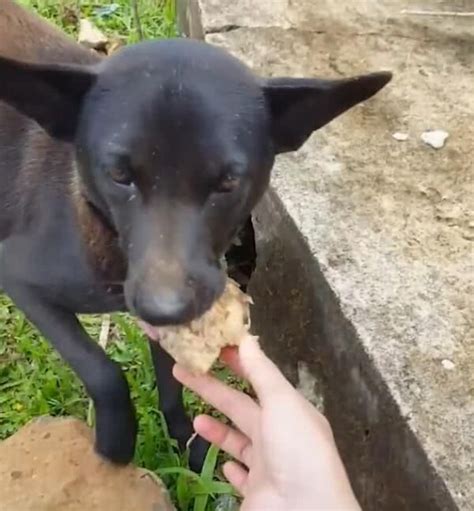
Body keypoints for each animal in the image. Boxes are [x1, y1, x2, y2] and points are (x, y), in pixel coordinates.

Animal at [0, 1, 390, 472]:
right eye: (119, 175)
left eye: (228, 182)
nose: (164, 307)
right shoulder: (19, 280)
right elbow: (101, 370)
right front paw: (116, 443)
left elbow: (171, 384)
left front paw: (186, 445)